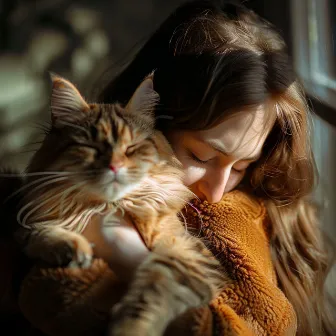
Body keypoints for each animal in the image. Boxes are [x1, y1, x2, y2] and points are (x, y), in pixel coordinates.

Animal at [13, 74, 226, 336]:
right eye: (92, 147)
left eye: (131, 148)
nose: (115, 166)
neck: (111, 206)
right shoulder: (30, 226)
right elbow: (39, 234)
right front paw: (72, 248)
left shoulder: (189, 254)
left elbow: (153, 292)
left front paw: (131, 327)